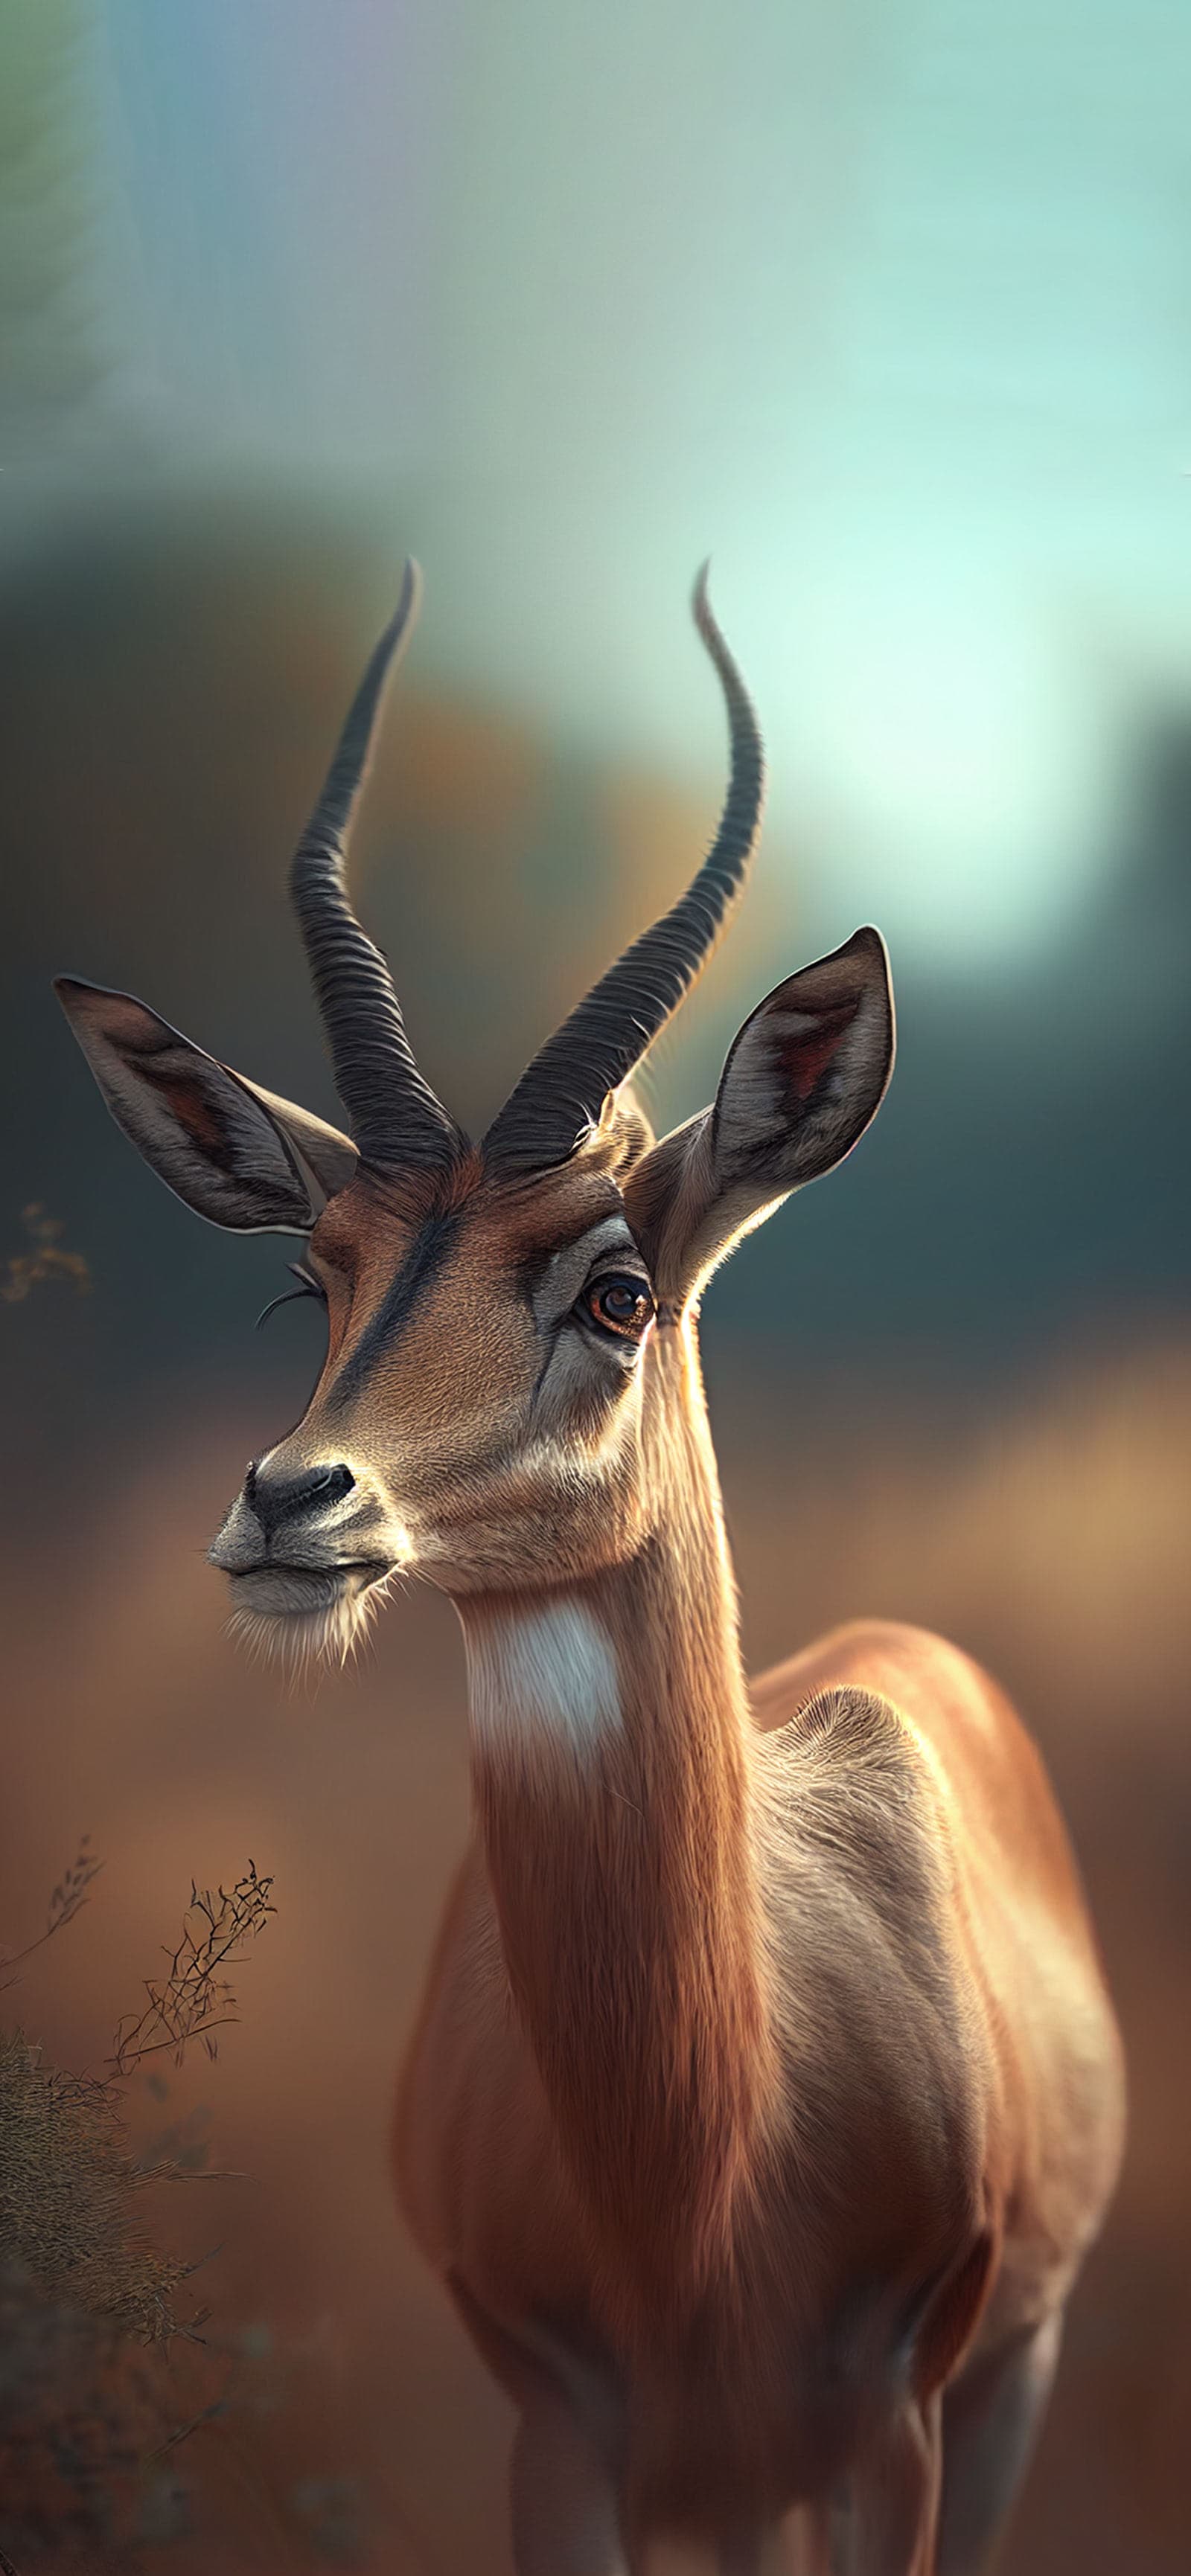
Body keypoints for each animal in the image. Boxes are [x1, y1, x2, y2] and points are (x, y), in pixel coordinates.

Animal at [57, 564, 1125, 2574]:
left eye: (615, 1288)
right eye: (316, 1272)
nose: (290, 1503)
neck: (702, 2175)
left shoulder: (897, 2435)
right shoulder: (557, 2440)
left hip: (988, 2398)